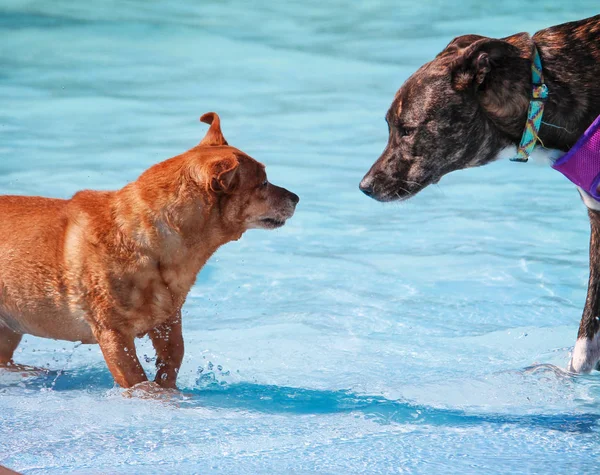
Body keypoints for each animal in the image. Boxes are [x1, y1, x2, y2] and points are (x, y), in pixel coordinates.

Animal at [0, 112, 298, 390]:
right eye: (263, 183)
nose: (296, 197)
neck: (147, 239)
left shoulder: (168, 321)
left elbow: (173, 358)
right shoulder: (113, 333)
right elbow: (136, 380)